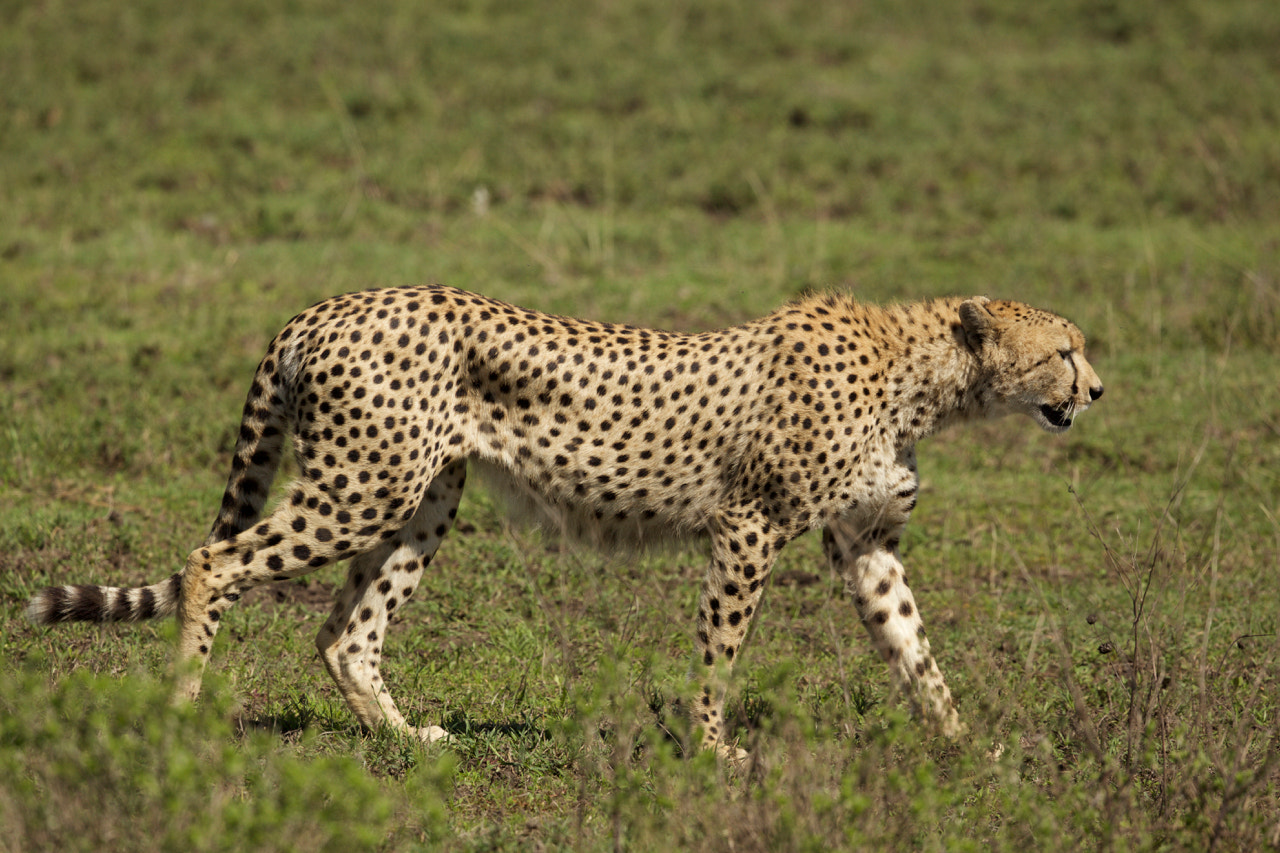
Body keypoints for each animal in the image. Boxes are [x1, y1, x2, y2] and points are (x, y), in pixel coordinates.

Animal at [27, 284, 1103, 755]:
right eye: (1063, 349)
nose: (1095, 388)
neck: (924, 376)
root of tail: (328, 303)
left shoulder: (865, 543)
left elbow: (915, 649)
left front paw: (965, 743)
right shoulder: (749, 526)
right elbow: (722, 653)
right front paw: (712, 750)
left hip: (422, 498)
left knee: (343, 633)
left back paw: (406, 736)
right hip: (361, 486)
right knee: (211, 560)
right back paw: (180, 709)